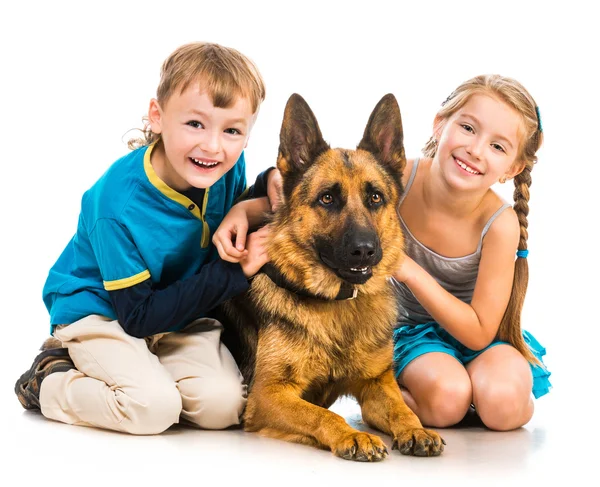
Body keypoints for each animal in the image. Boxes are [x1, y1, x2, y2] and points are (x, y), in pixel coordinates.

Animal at [218, 94, 442, 462]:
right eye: (327, 198)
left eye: (375, 198)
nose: (364, 251)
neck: (339, 305)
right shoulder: (267, 395)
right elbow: (323, 414)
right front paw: (353, 435)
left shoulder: (377, 384)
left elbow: (401, 409)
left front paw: (416, 428)